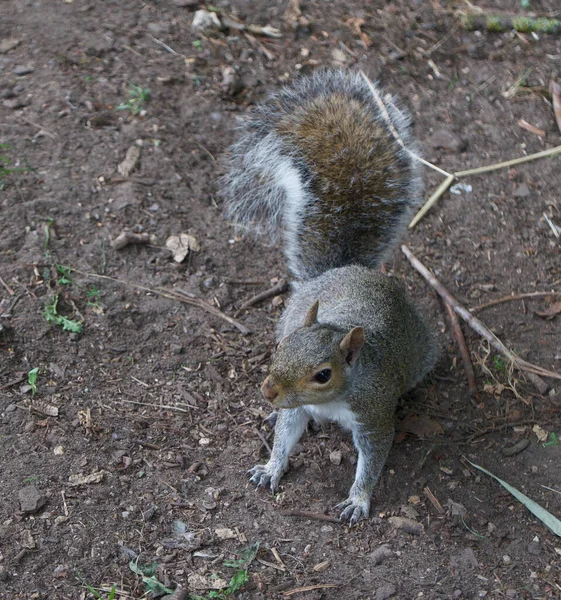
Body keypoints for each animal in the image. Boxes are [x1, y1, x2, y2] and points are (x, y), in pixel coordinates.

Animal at [221, 70, 436, 524]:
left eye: (323, 374)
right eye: (282, 346)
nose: (268, 390)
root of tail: (347, 269)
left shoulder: (372, 412)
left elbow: (373, 457)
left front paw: (358, 499)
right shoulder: (296, 408)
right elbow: (286, 434)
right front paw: (271, 466)